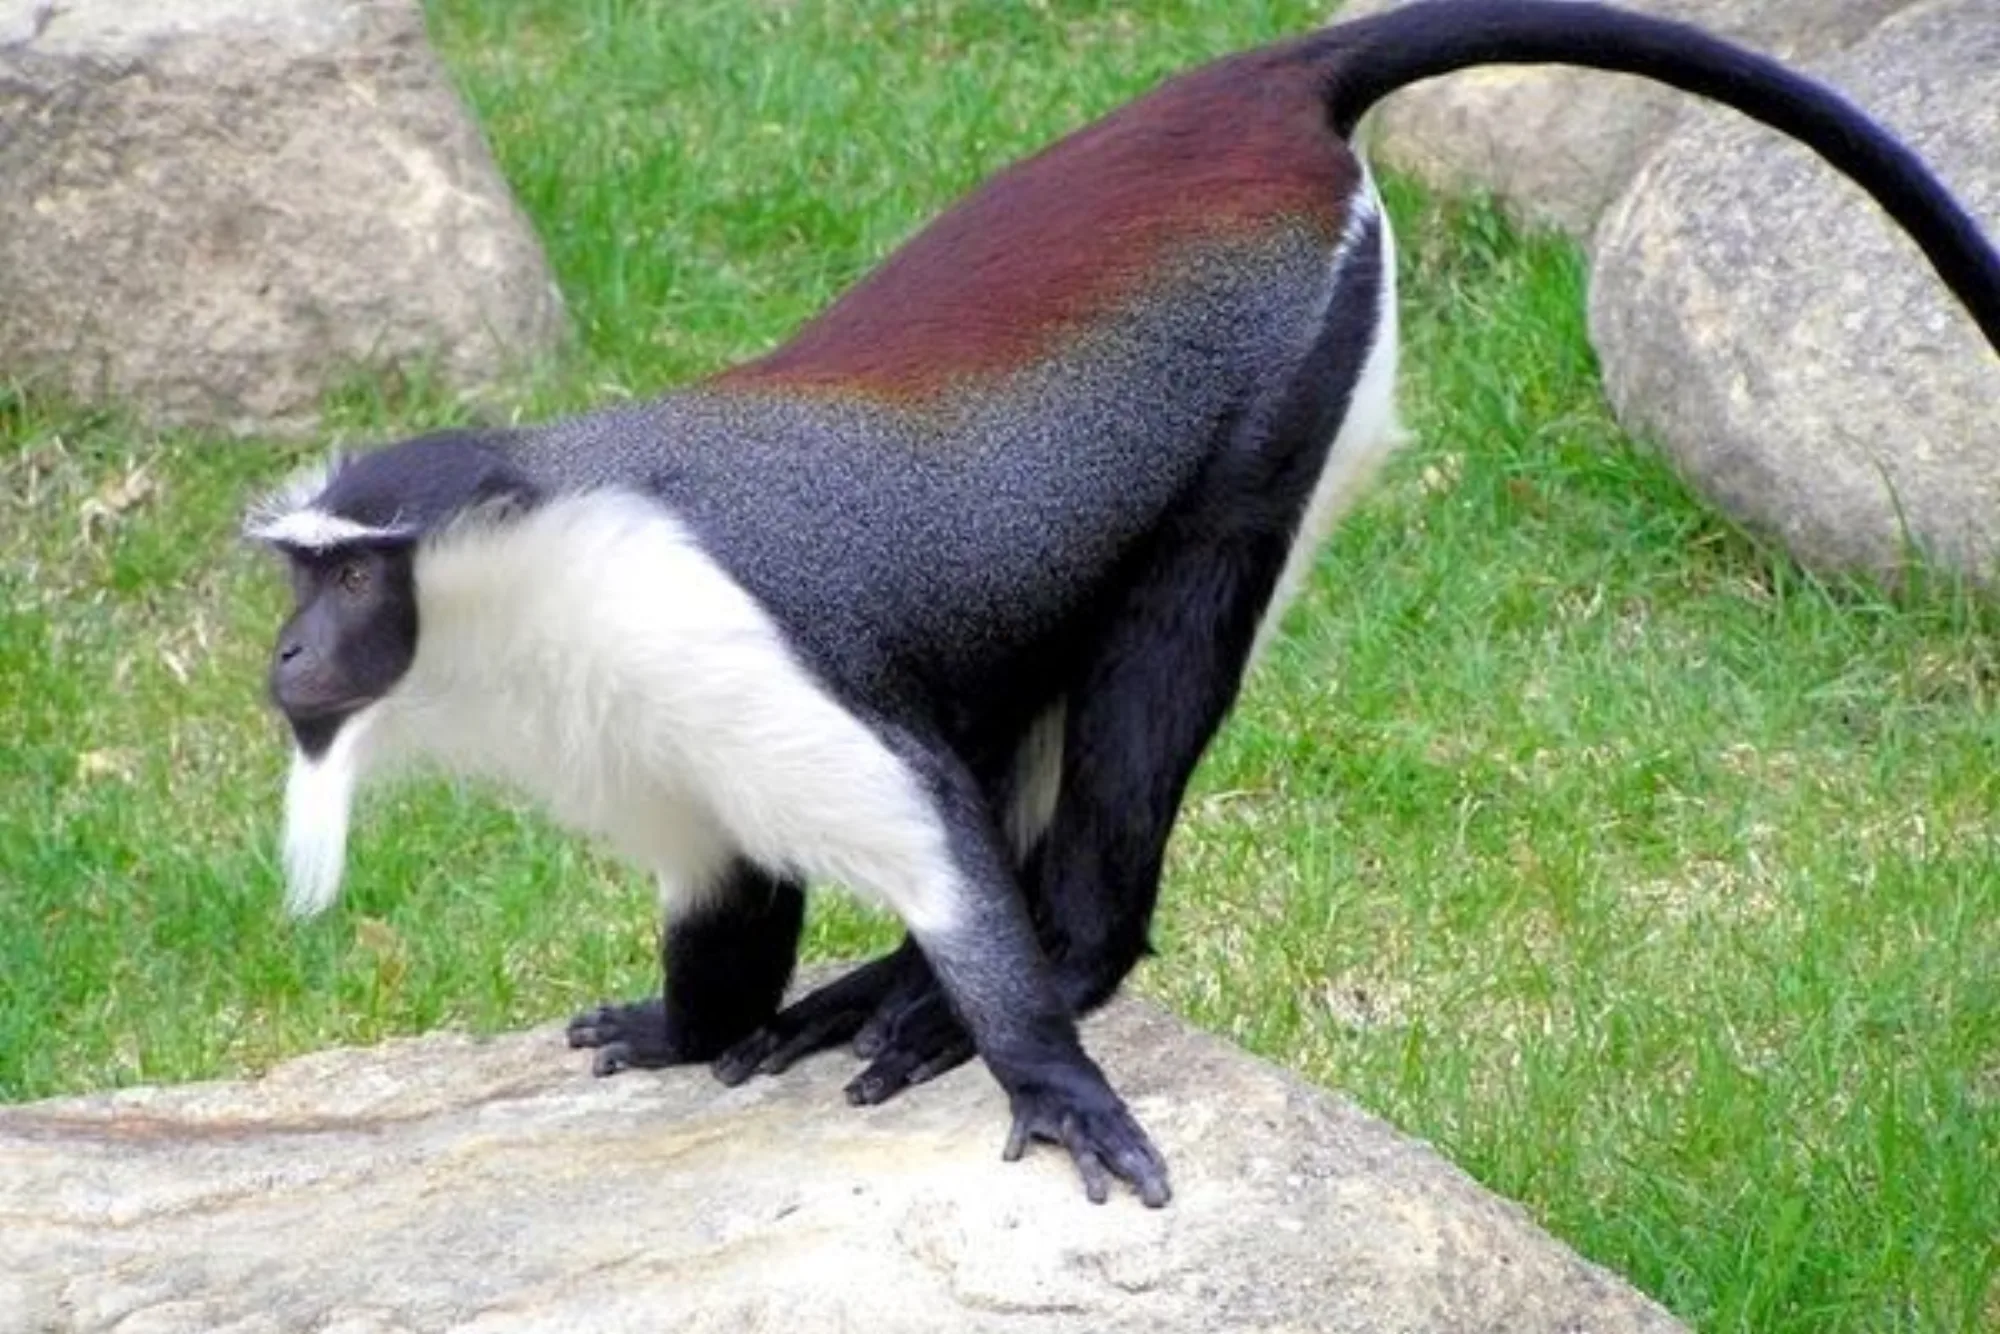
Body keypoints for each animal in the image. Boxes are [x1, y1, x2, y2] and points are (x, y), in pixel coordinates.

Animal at [246, 1, 2000, 1209]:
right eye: (302, 575)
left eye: (354, 572)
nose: (287, 653)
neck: (530, 572)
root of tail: (1258, 84)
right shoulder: (656, 749)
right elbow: (729, 906)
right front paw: (690, 1029)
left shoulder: (714, 638)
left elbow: (925, 831)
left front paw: (1044, 1069)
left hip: (1288, 391)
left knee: (1151, 685)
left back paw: (1035, 960)